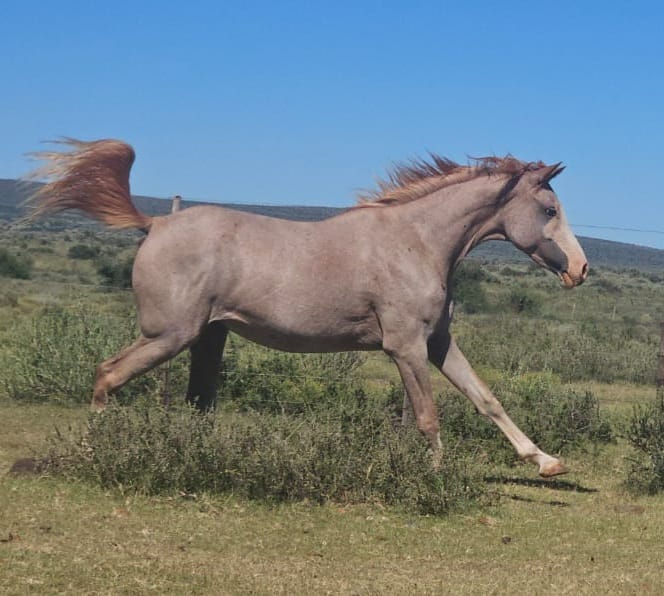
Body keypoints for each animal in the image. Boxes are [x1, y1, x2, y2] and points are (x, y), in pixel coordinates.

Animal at [26, 139, 588, 477]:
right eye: (549, 209)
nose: (580, 270)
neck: (418, 241)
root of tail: (154, 224)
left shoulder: (437, 343)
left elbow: (487, 399)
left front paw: (545, 461)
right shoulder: (405, 346)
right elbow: (428, 416)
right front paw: (436, 476)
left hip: (208, 337)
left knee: (194, 403)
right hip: (169, 335)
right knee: (107, 374)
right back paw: (97, 453)